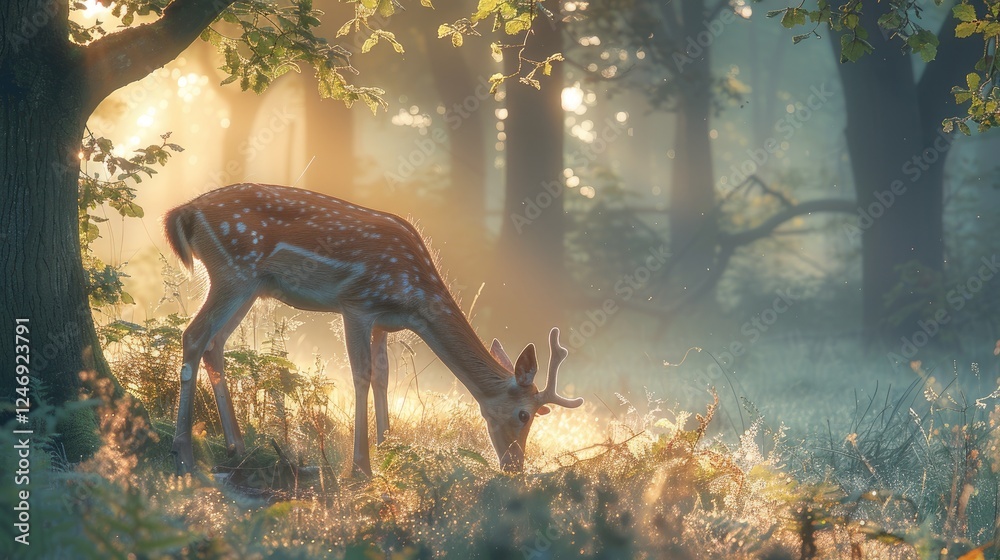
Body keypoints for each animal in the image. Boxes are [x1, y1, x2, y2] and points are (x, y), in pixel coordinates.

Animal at [163, 183, 584, 476]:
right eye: (524, 415)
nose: (515, 466)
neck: (415, 299)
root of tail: (184, 212)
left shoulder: (384, 321)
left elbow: (383, 377)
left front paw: (387, 452)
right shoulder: (357, 303)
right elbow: (360, 374)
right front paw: (361, 467)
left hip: (247, 284)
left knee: (215, 343)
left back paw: (236, 445)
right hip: (233, 271)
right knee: (194, 336)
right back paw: (183, 450)